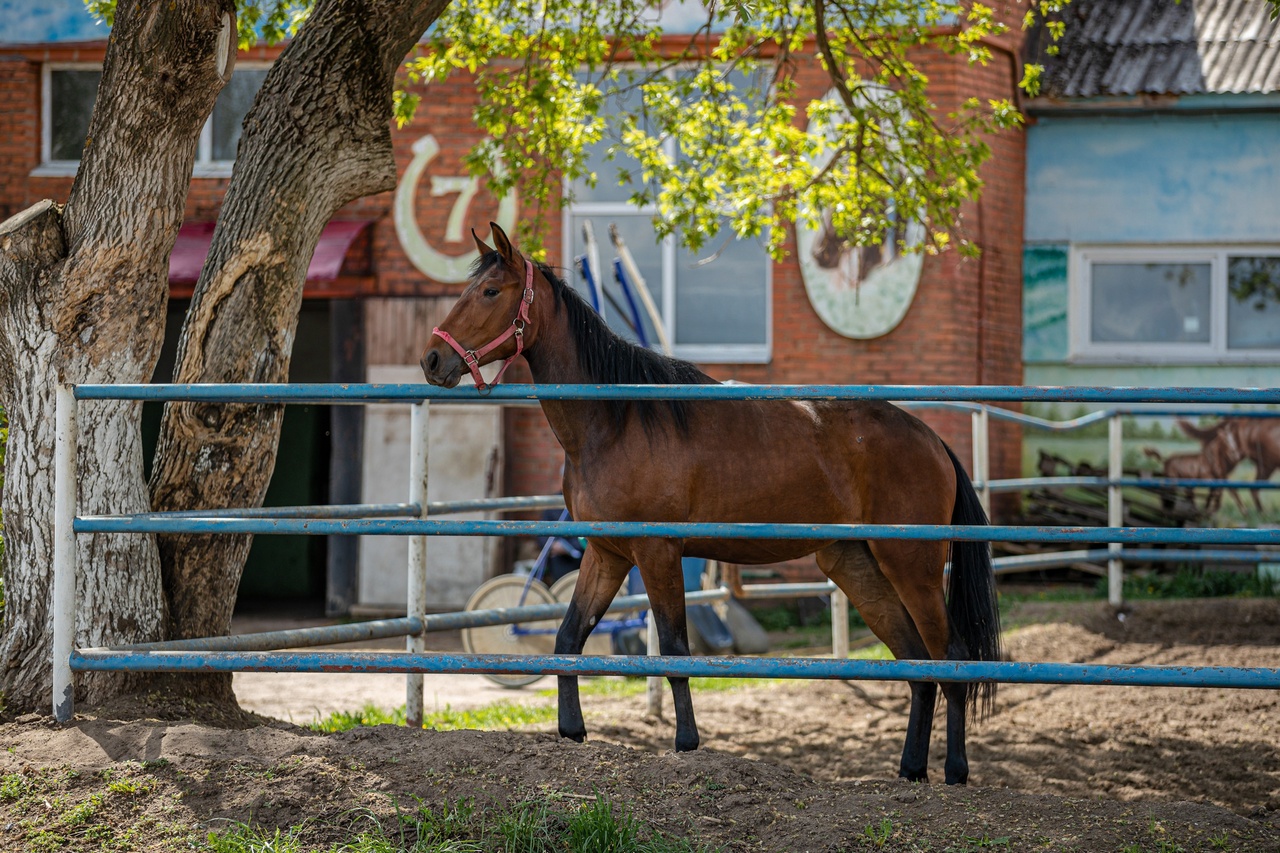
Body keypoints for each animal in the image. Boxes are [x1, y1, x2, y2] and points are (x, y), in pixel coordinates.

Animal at [419, 222, 998, 778]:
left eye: (490, 291)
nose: (432, 358)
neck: (615, 419)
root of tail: (931, 440)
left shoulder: (658, 554)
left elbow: (675, 649)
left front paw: (687, 744)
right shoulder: (607, 554)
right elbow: (567, 639)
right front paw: (572, 732)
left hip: (912, 567)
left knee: (952, 659)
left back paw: (955, 771)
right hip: (858, 567)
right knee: (918, 666)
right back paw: (911, 772)